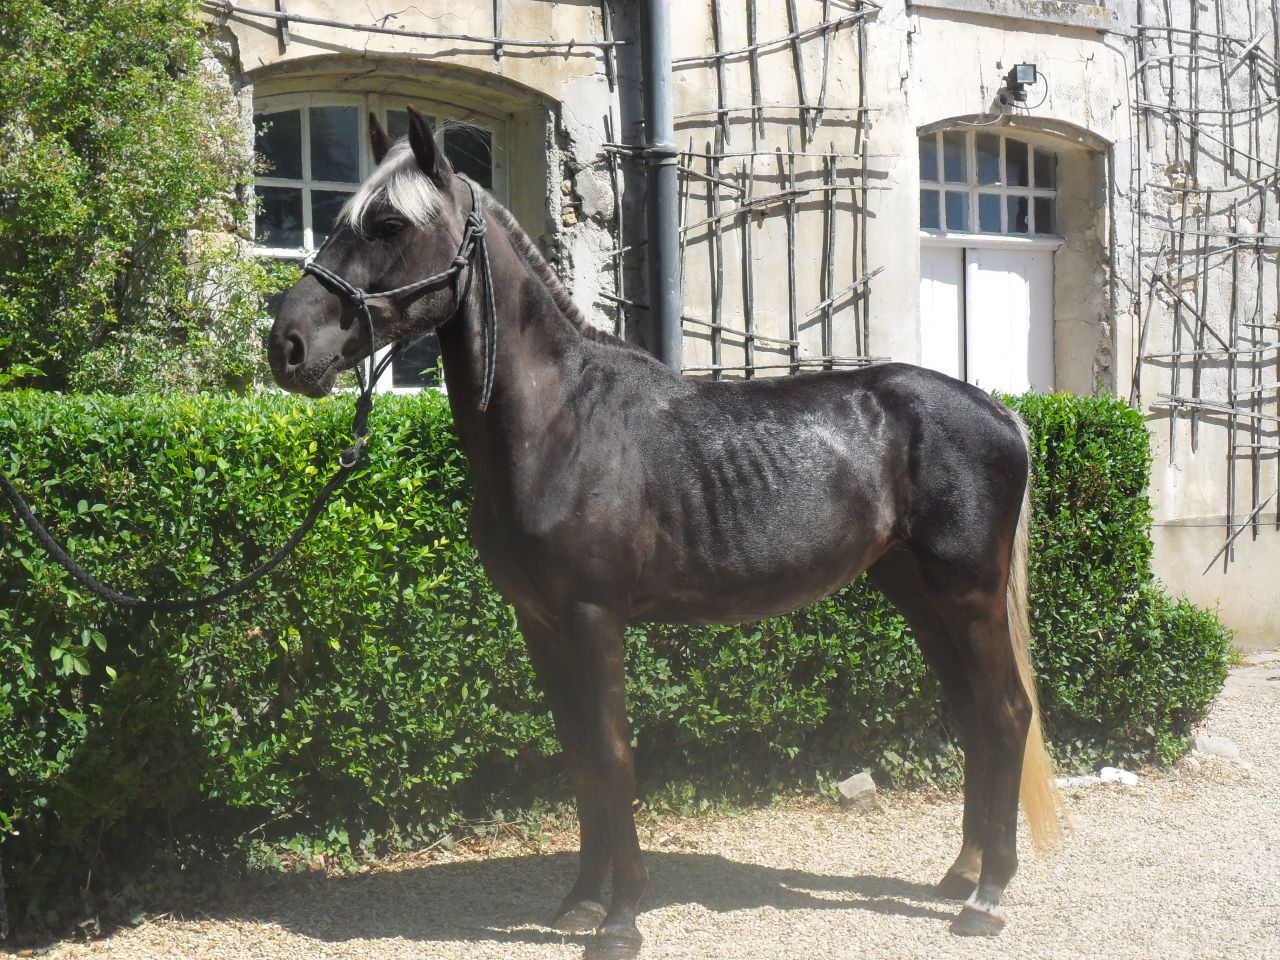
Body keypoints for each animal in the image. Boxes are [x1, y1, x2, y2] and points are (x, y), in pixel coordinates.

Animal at [268, 105, 1062, 959]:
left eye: (387, 224)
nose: (286, 344)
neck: (561, 423)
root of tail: (1000, 413)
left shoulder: (593, 617)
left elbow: (613, 756)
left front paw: (621, 919)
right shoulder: (540, 623)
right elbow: (580, 758)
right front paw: (580, 902)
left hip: (969, 597)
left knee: (1006, 714)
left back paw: (986, 895)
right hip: (921, 598)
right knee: (975, 718)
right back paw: (961, 873)